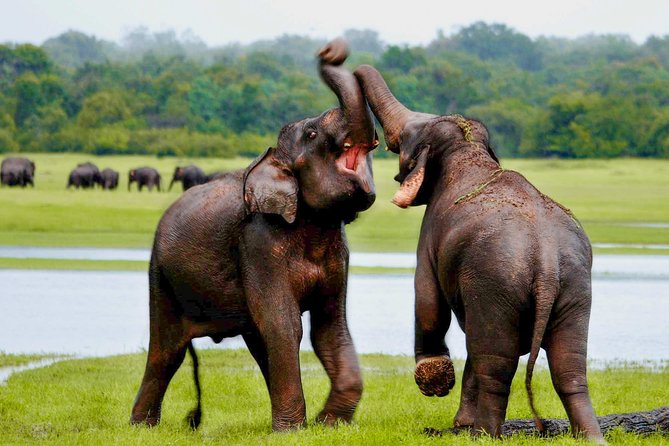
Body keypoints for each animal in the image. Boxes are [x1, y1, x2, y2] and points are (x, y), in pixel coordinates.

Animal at [130, 39, 378, 432]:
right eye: (311, 134)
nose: (330, 49)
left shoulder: (339, 251)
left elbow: (330, 327)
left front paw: (328, 423)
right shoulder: (258, 242)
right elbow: (284, 323)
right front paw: (294, 431)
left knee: (256, 341)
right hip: (160, 274)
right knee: (167, 350)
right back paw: (141, 427)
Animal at [354, 64, 604, 444]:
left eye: (406, 139)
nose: (330, 54)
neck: (468, 148)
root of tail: (546, 261)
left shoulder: (429, 234)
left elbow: (427, 301)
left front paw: (437, 387)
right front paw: (459, 422)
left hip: (496, 283)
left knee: (496, 361)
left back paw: (485, 434)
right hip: (575, 287)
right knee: (569, 366)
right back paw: (590, 437)